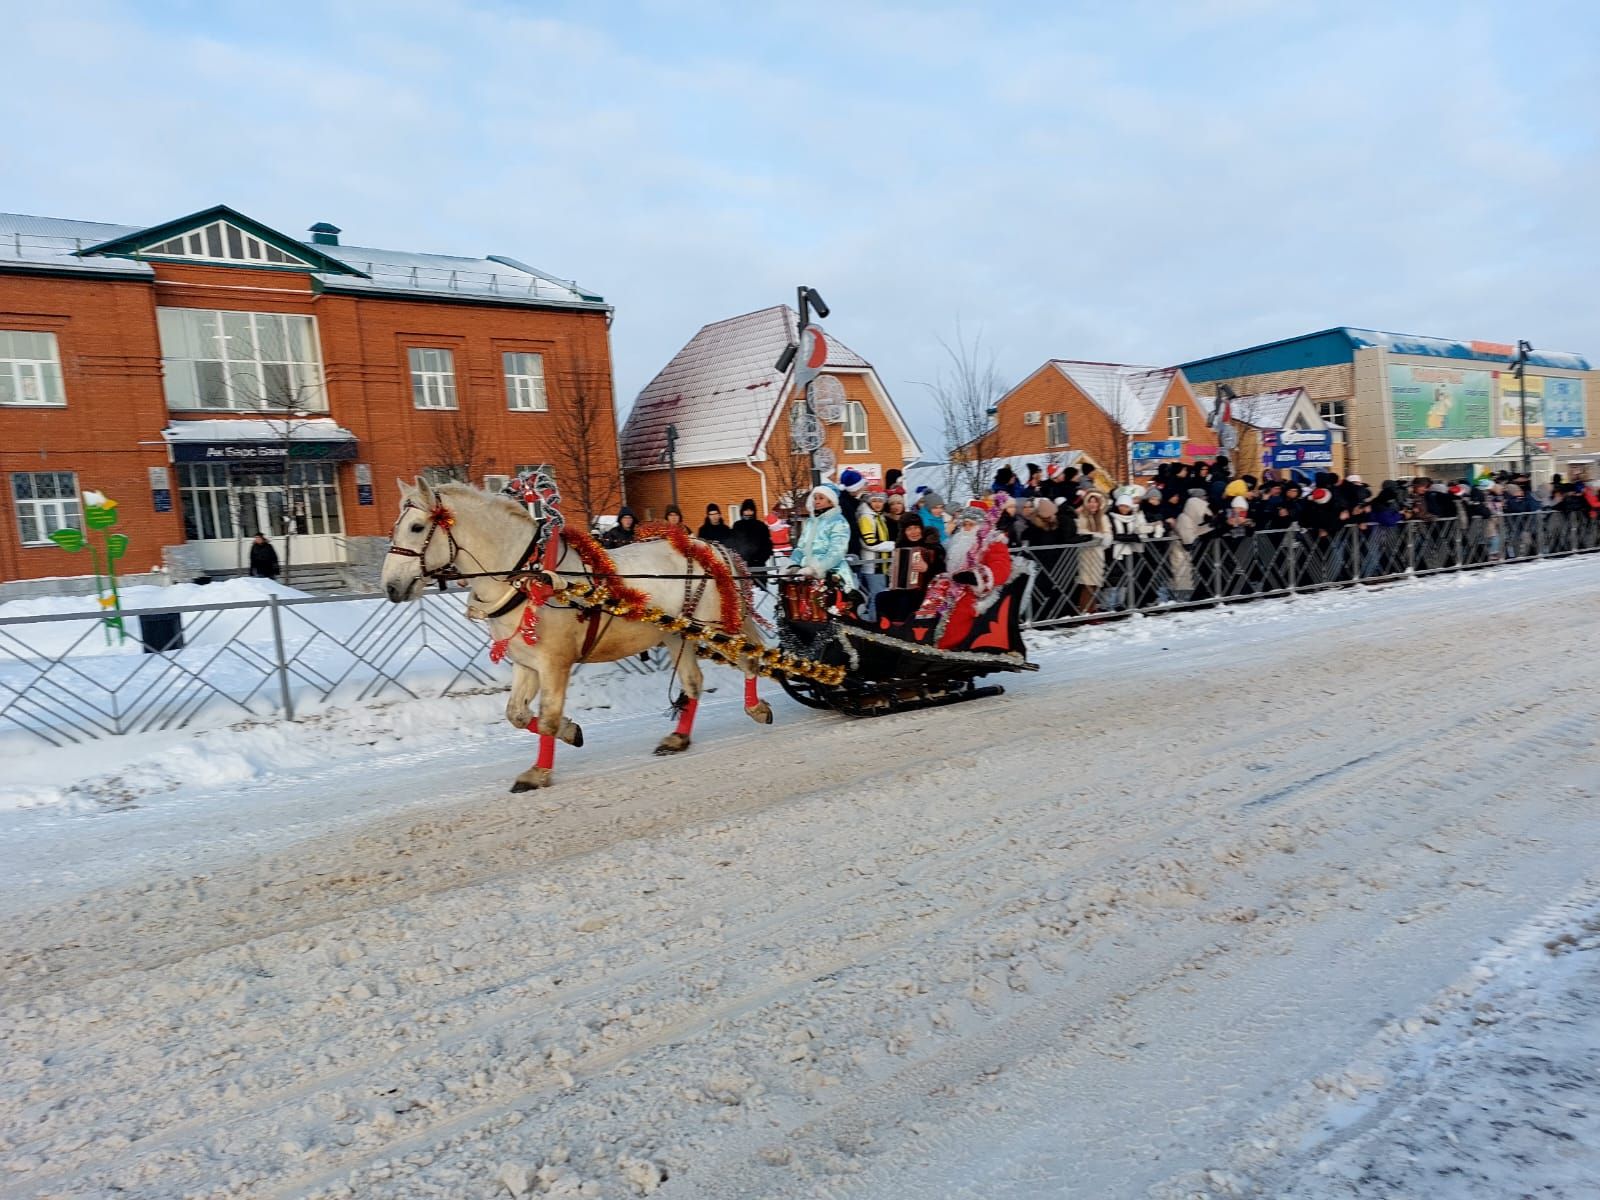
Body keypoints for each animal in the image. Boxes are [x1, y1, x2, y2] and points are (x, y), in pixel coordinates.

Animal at [380, 480, 768, 790]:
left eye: (417, 527)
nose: (391, 587)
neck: (529, 577)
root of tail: (710, 547)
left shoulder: (555, 663)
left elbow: (548, 717)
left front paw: (538, 773)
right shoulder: (526, 664)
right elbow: (516, 714)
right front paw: (571, 732)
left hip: (717, 626)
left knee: (750, 658)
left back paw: (757, 708)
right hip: (676, 635)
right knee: (693, 682)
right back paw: (679, 738)